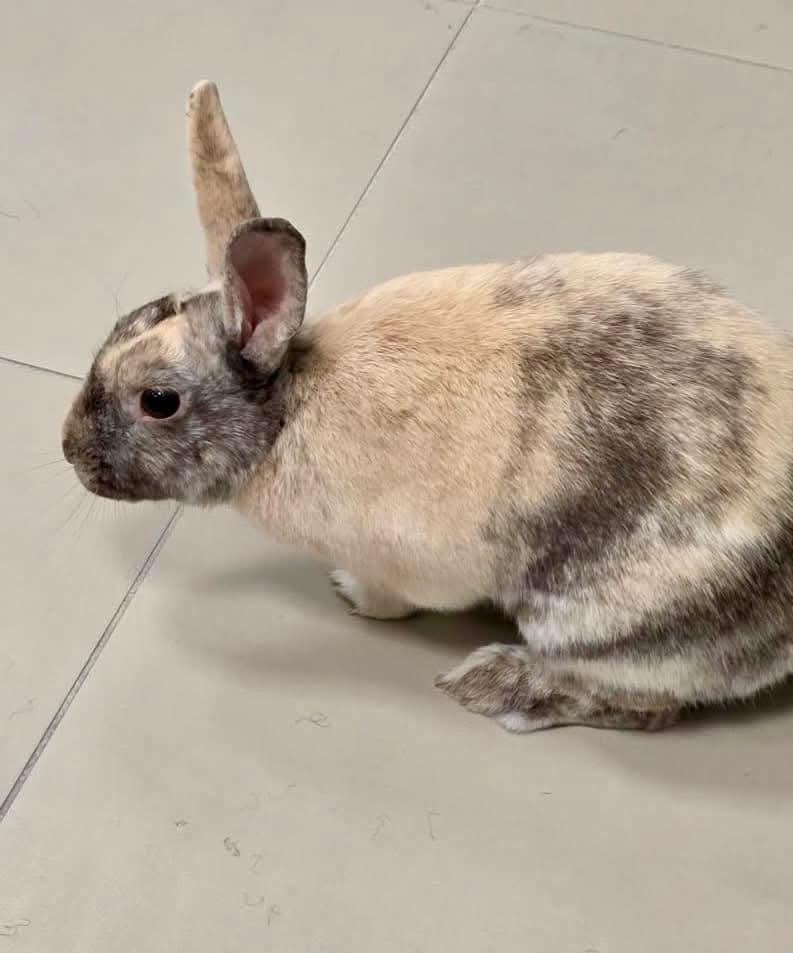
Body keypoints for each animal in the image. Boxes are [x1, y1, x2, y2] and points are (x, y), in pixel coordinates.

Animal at [62, 80, 793, 733]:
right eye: (124, 322)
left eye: (158, 401)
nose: (69, 450)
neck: (286, 413)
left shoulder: (398, 562)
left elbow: (391, 599)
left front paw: (350, 594)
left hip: (602, 622)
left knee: (644, 703)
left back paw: (491, 686)